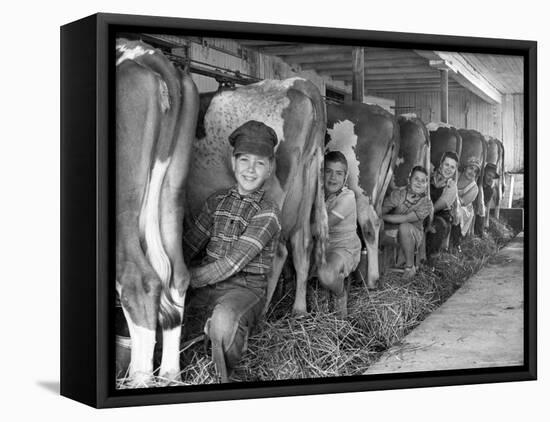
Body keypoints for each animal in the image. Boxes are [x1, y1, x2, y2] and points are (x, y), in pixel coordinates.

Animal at [185, 77, 330, 318]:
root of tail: (295, 84)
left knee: (278, 251)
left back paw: (263, 313)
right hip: (306, 187)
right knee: (303, 244)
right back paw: (299, 309)